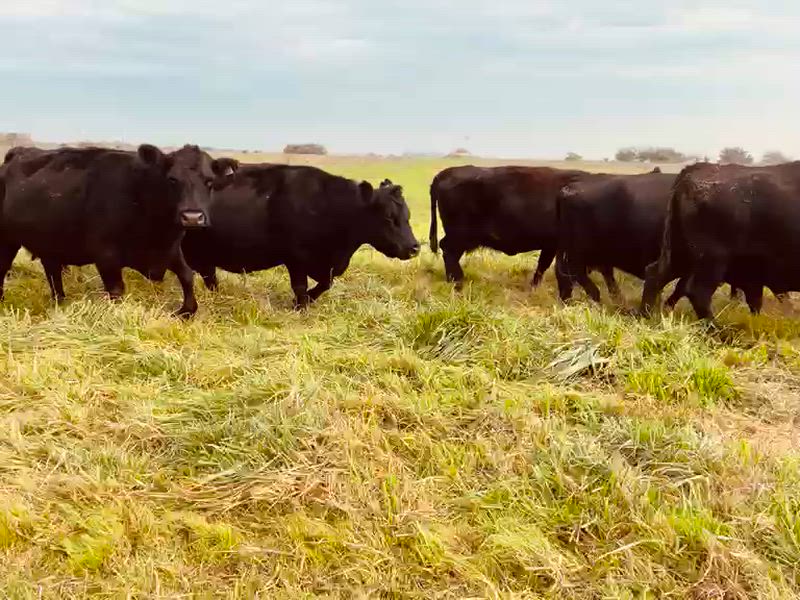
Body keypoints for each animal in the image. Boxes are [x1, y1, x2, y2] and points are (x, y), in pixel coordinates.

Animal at [0, 144, 238, 316]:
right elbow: (116, 290)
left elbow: (187, 275)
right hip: (7, 240)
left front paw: (186, 311)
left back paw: (60, 302)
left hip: (51, 243)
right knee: (3, 269)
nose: (192, 217)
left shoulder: (170, 250)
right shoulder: (106, 255)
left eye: (209, 181)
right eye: (172, 179)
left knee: (52, 272)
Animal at [181, 164, 420, 307]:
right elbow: (301, 286)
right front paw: (301, 305)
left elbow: (326, 283)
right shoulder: (295, 259)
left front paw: (307, 301)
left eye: (407, 215)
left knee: (209, 276)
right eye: (388, 217)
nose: (414, 247)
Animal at [429, 165, 619, 291]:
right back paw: (457, 281)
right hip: (460, 235)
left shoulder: (551, 246)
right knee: (448, 250)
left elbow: (543, 265)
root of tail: (444, 173)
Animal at [641, 161, 800, 320]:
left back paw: (648, 316)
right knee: (697, 291)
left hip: (680, 253)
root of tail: (693, 170)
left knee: (655, 275)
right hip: (713, 260)